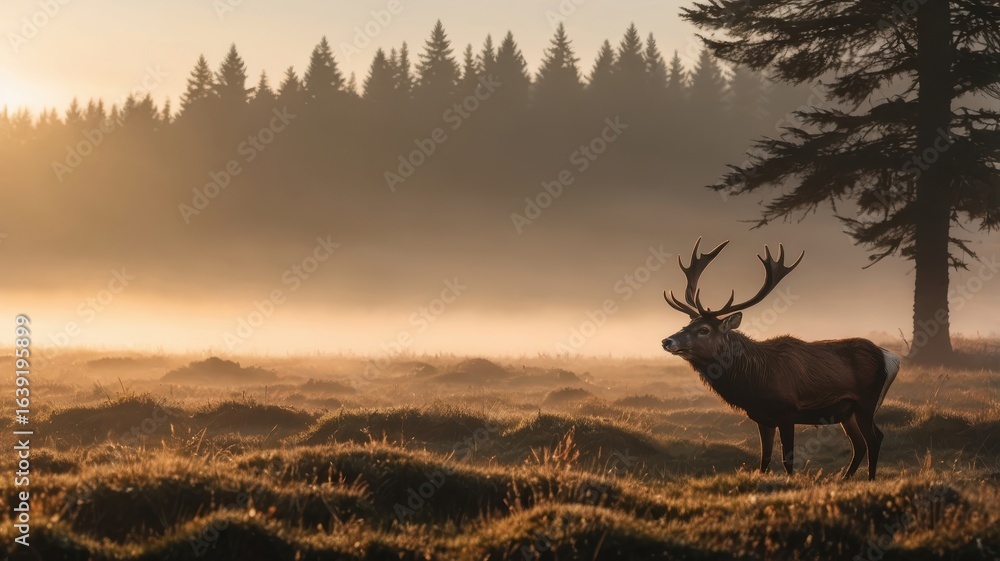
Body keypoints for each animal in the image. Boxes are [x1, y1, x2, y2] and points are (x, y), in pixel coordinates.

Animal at [660, 238, 899, 480]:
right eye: (686, 325)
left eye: (704, 330)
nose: (667, 341)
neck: (754, 382)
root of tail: (890, 358)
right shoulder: (763, 418)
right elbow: (764, 460)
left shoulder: (787, 412)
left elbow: (787, 459)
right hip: (848, 411)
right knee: (859, 444)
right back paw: (843, 479)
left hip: (866, 402)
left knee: (874, 439)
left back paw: (870, 479)